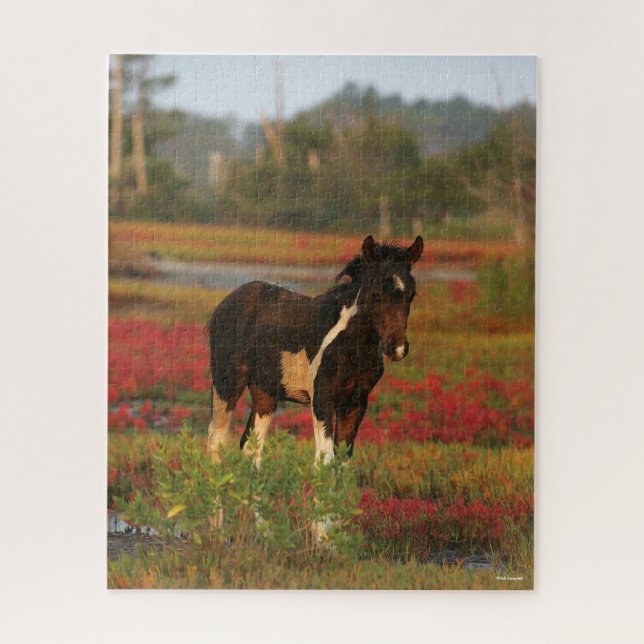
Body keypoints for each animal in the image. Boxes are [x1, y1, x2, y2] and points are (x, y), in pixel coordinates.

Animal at [206, 234, 423, 467]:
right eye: (376, 293)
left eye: (412, 294)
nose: (397, 348)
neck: (350, 345)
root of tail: (225, 303)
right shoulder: (322, 396)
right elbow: (324, 459)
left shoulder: (356, 403)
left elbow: (343, 460)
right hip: (227, 382)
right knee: (217, 438)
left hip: (265, 390)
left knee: (251, 443)